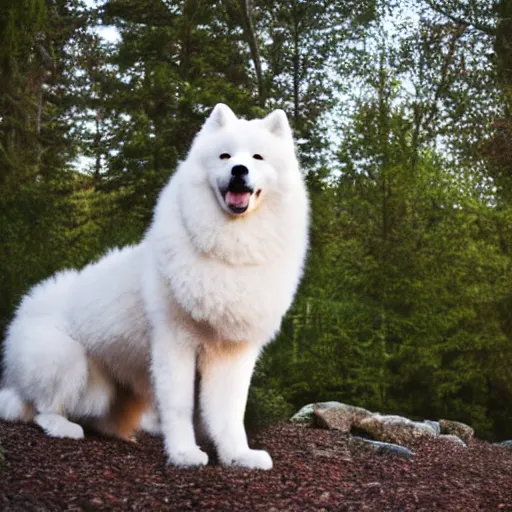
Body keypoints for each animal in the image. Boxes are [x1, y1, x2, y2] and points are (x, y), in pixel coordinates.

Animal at [0, 103, 308, 468]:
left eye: (258, 157)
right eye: (225, 156)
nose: (239, 170)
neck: (230, 248)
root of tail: (24, 309)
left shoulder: (233, 353)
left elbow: (230, 412)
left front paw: (237, 455)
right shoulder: (175, 343)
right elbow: (180, 406)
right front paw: (184, 454)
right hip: (66, 360)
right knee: (41, 409)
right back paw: (64, 427)